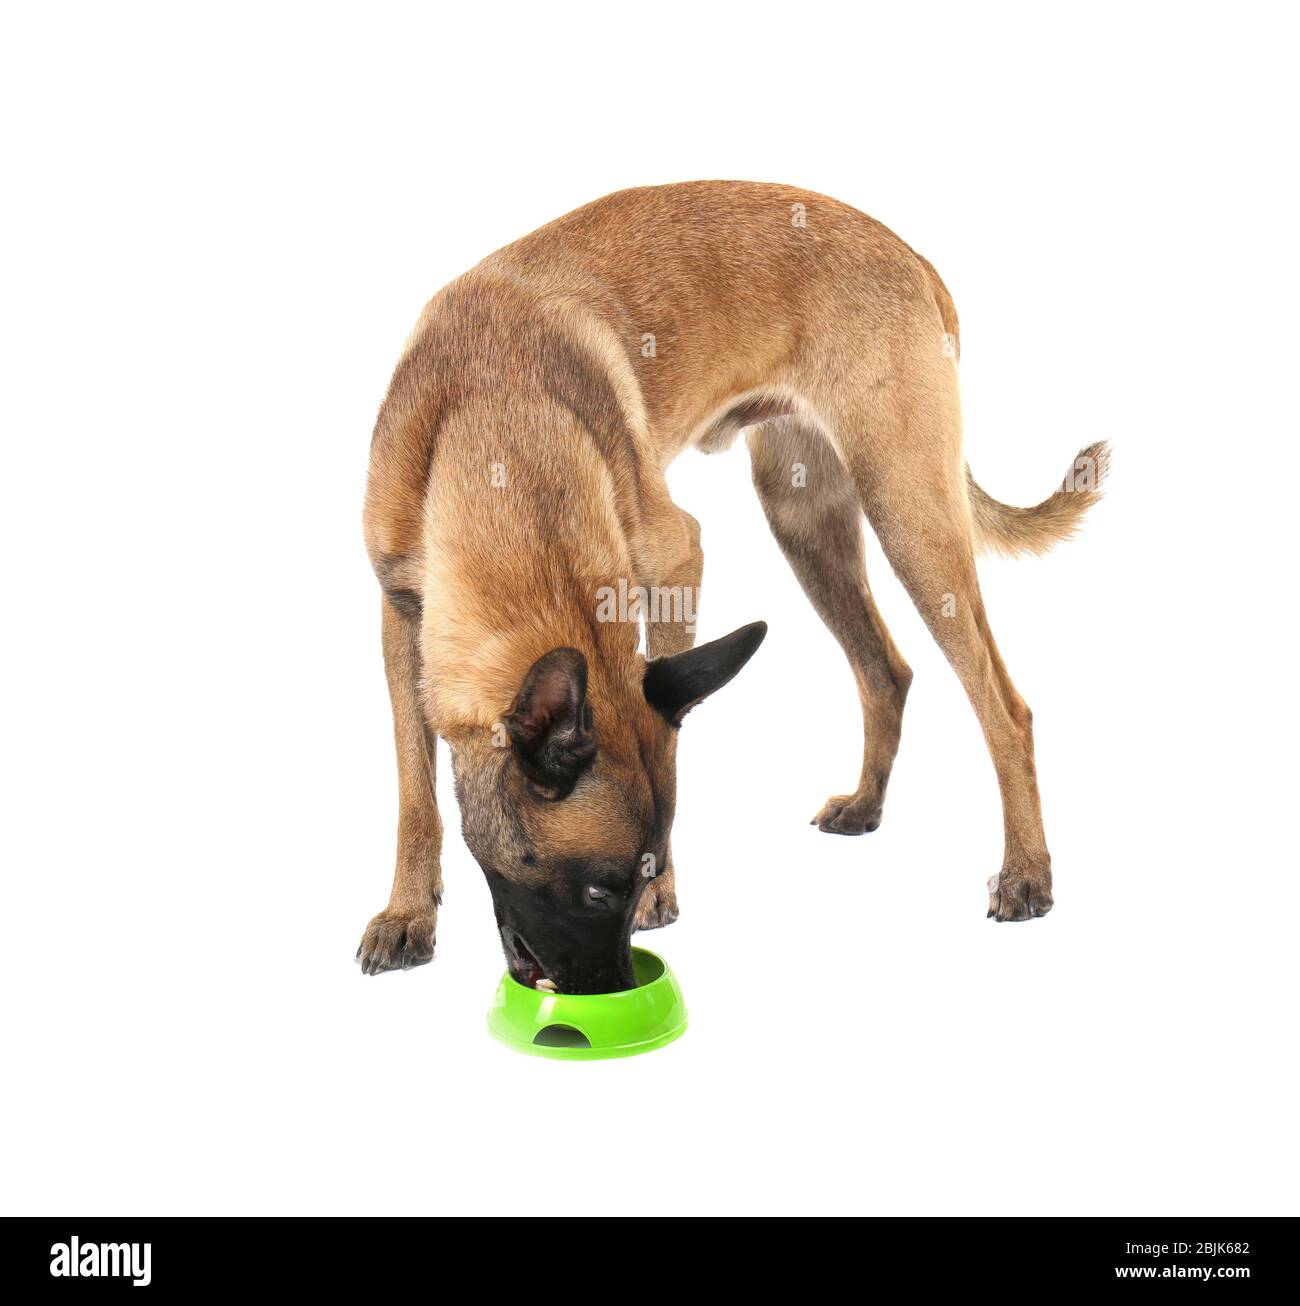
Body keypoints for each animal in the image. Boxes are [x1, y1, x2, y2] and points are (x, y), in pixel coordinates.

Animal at [357, 176, 1107, 987]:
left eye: (631, 879)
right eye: (596, 890)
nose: (620, 990)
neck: (495, 425)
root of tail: (912, 255)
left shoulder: (675, 562)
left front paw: (668, 895)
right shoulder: (401, 613)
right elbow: (413, 790)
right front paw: (408, 914)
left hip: (910, 517)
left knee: (1005, 708)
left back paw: (1027, 871)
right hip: (804, 518)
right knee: (887, 670)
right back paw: (867, 805)